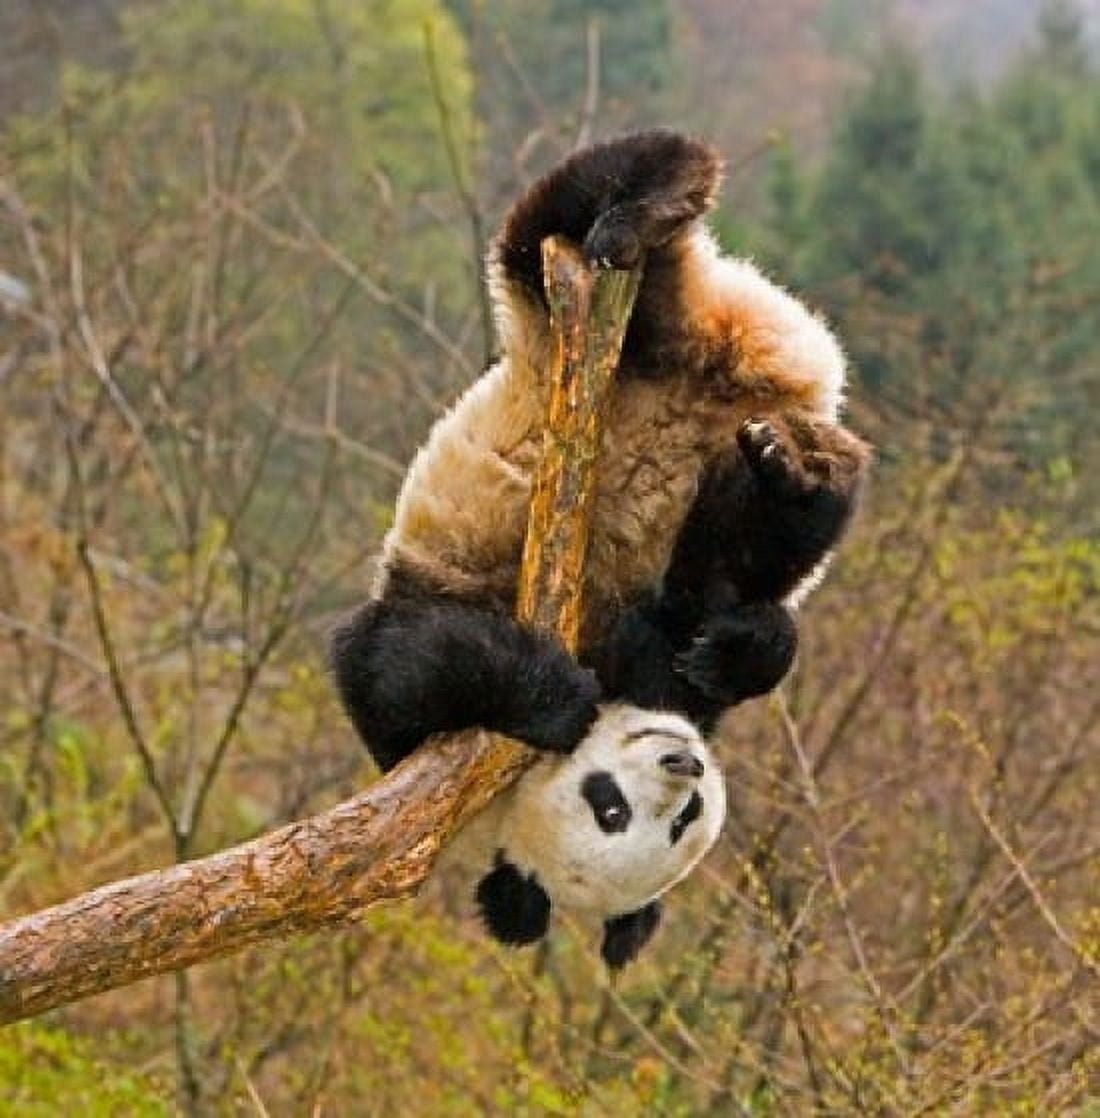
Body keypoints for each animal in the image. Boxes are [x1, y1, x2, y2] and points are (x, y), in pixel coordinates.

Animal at [331, 129, 870, 964]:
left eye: (682, 819)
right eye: (610, 810)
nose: (683, 762)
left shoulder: (659, 664)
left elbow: (713, 621)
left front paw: (734, 649)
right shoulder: (429, 725)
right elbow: (406, 662)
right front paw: (556, 696)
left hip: (654, 334)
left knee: (591, 196)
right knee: (549, 229)